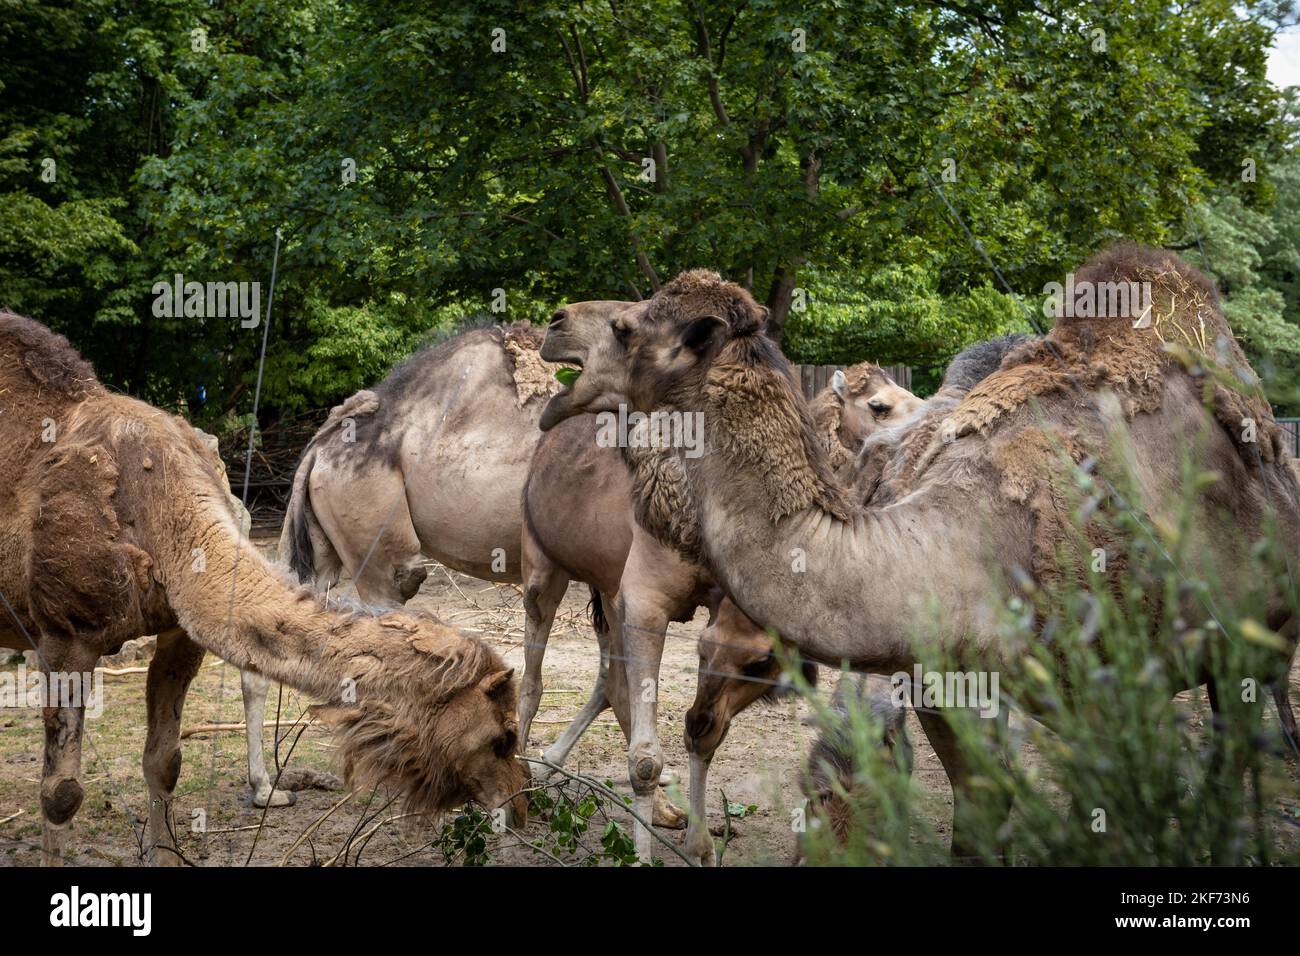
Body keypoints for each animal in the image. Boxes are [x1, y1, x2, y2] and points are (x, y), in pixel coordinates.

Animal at [1, 314, 527, 868]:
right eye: (502, 737)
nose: (520, 806)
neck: (155, 508)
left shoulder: (178, 633)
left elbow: (165, 762)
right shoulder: (65, 635)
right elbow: (61, 794)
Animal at [538, 240, 1300, 858]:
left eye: (625, 327)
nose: (552, 324)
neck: (962, 546)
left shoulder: (1094, 686)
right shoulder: (947, 688)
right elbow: (976, 825)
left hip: (1247, 640)